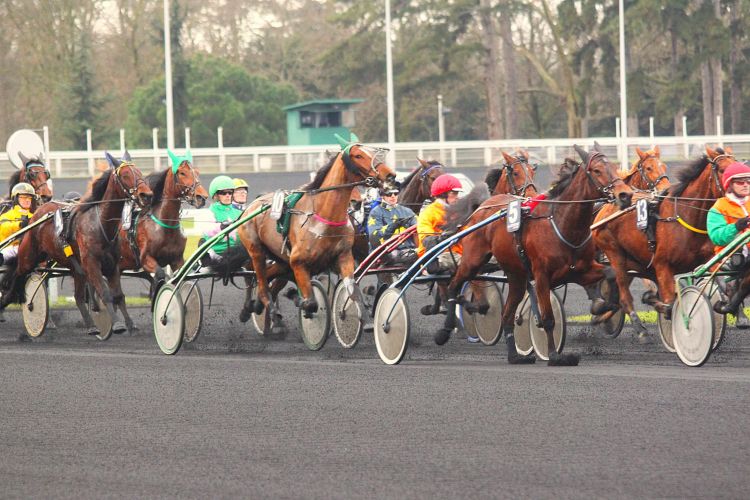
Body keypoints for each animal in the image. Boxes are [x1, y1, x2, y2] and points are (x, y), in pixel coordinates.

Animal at [0, 152, 154, 336]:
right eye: (125, 175)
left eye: (139, 172)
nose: (147, 195)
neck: (99, 223)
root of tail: (38, 213)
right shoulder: (92, 263)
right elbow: (105, 293)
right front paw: (117, 324)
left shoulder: (112, 266)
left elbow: (118, 295)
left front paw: (130, 324)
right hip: (29, 256)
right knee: (16, 274)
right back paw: (8, 301)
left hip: (74, 267)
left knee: (78, 296)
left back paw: (91, 325)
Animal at [116, 152, 209, 332]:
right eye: (182, 173)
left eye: (197, 172)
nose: (202, 197)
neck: (164, 225)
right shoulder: (146, 259)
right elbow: (160, 275)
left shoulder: (177, 260)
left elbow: (178, 279)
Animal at [239, 135, 400, 326]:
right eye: (358, 155)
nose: (390, 175)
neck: (323, 215)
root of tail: (252, 205)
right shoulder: (298, 262)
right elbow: (310, 303)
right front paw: (301, 303)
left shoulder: (344, 257)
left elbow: (353, 290)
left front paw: (367, 321)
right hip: (256, 251)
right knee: (262, 283)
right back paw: (270, 316)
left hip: (281, 260)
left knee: (265, 279)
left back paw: (255, 305)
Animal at [438, 145, 636, 368]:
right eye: (597, 170)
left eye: (614, 167)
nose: (625, 195)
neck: (562, 223)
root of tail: (484, 206)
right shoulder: (542, 277)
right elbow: (548, 318)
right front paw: (555, 355)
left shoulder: (581, 270)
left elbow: (611, 273)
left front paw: (605, 307)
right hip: (473, 260)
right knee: (454, 285)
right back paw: (444, 331)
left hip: (516, 276)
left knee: (507, 314)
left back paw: (514, 356)